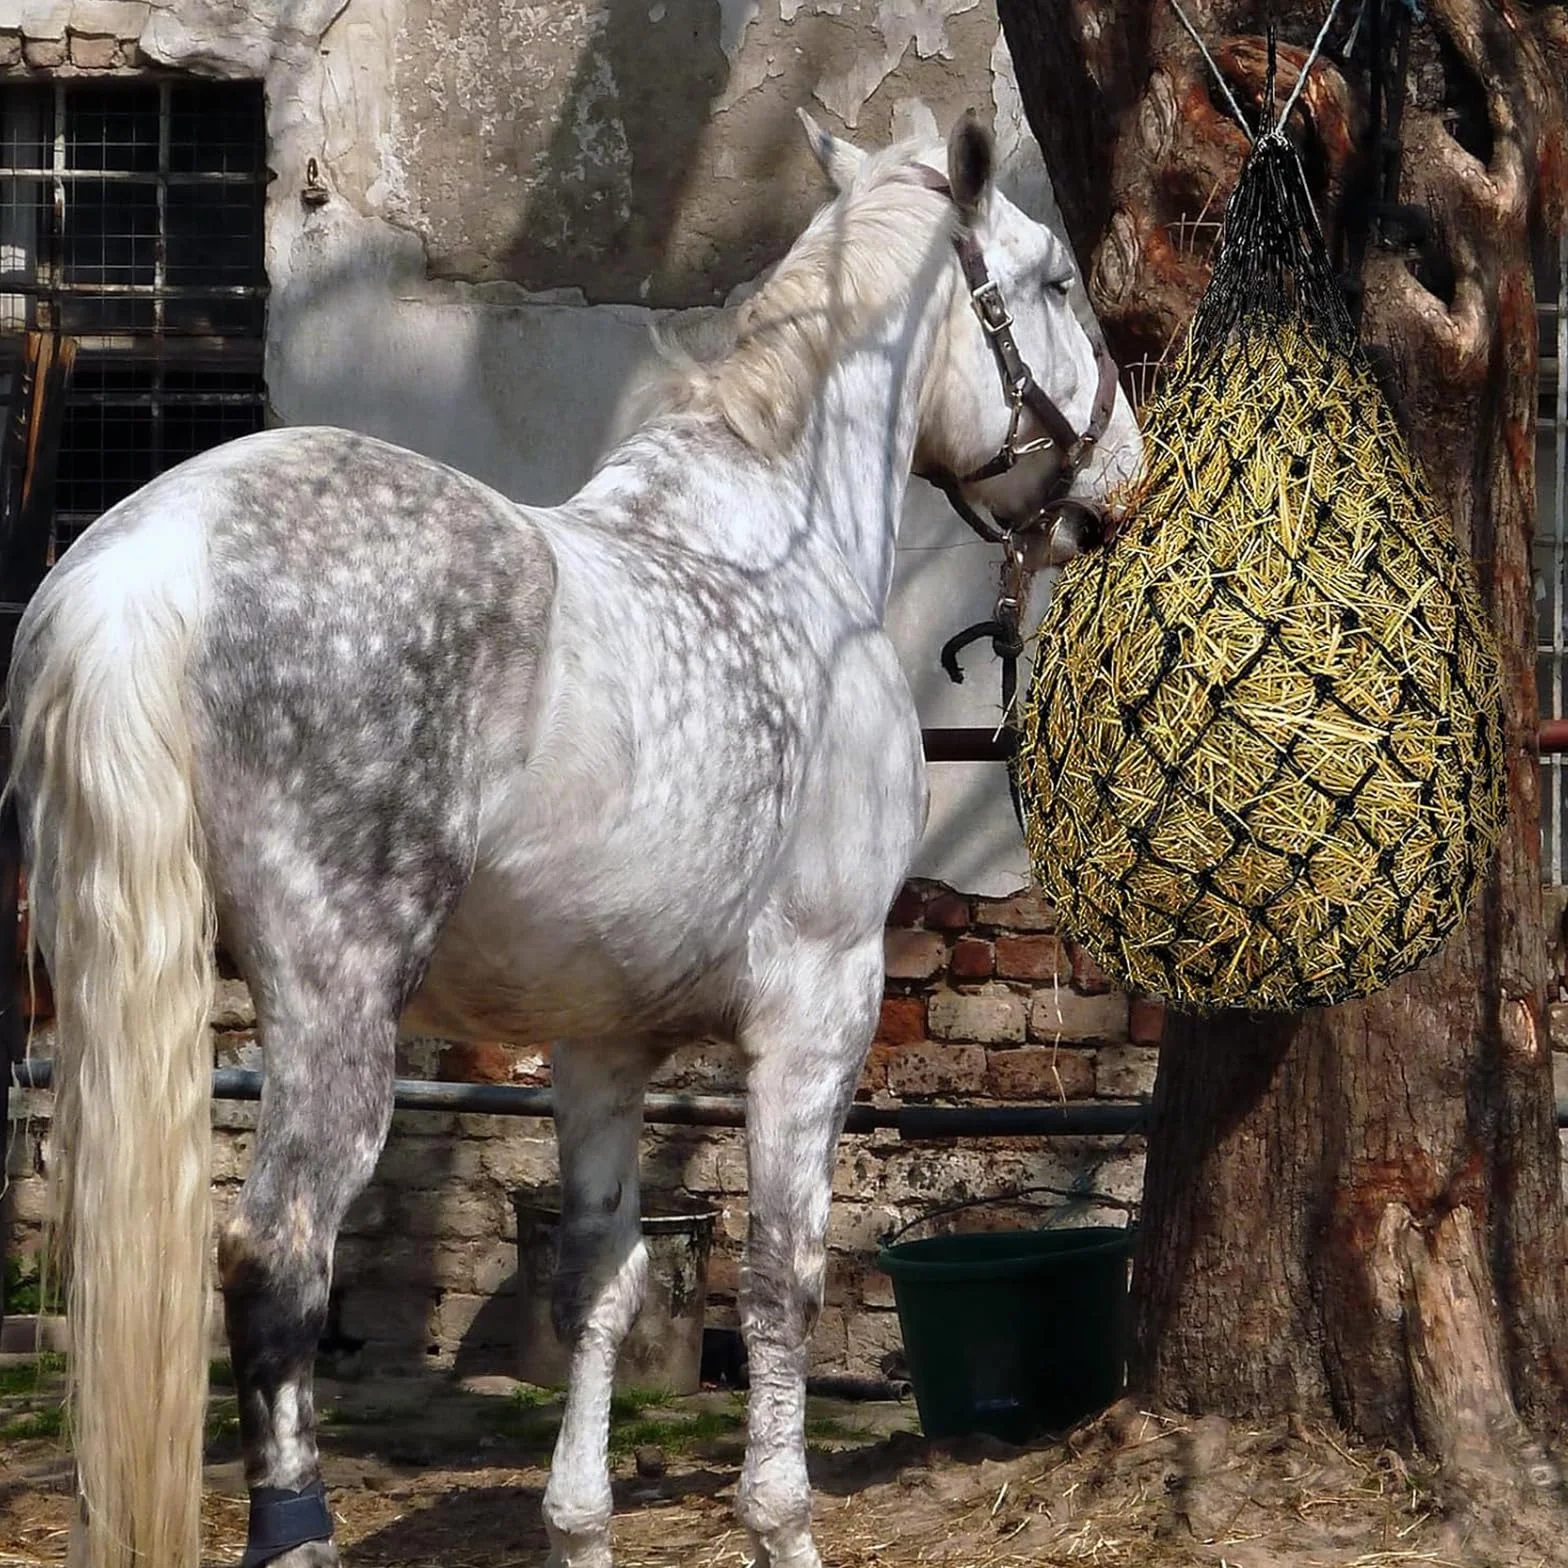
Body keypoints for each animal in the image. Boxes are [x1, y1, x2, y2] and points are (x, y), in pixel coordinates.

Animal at [7, 109, 1139, 1568]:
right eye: (1053, 278)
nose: (1118, 486)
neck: (780, 551)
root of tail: (156, 553)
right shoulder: (819, 1005)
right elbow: (781, 1275)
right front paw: (781, 1524)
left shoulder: (600, 1040)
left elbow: (601, 1279)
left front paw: (581, 1521)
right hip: (332, 1002)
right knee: (277, 1262)